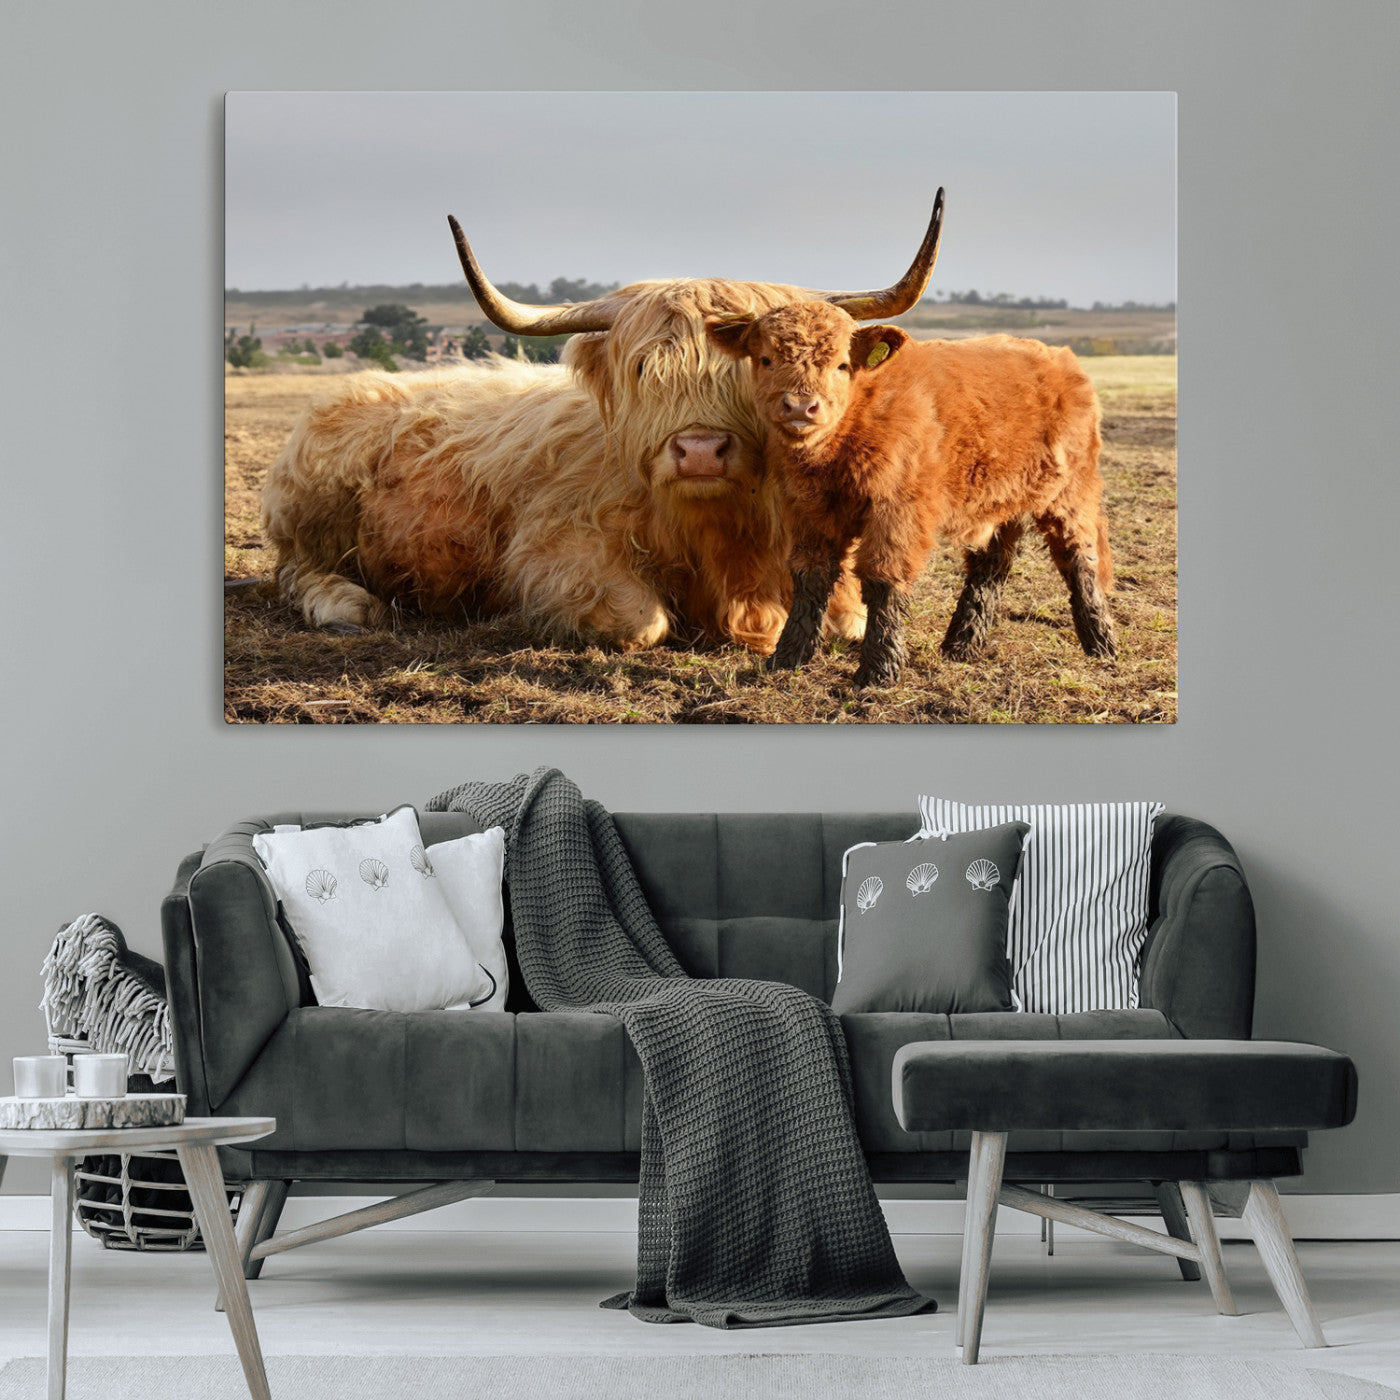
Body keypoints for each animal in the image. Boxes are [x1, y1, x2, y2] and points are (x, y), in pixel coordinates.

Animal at [259, 195, 947, 655]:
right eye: (644, 368)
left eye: (755, 364)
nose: (700, 451)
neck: (721, 532)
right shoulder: (552, 551)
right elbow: (642, 621)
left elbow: (848, 618)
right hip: (314, 514)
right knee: (295, 572)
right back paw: (346, 605)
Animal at [706, 299, 1115, 687]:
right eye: (766, 359)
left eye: (841, 365)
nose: (801, 406)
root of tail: (1061, 357)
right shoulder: (809, 510)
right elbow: (811, 577)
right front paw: (786, 659)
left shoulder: (898, 511)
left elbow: (882, 579)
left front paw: (878, 671)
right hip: (1000, 501)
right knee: (991, 567)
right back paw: (962, 645)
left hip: (1070, 494)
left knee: (1079, 559)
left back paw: (1102, 644)